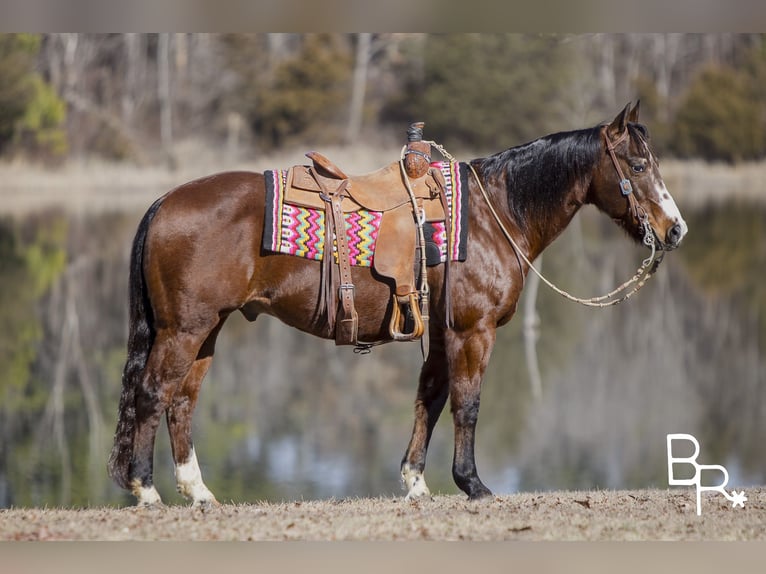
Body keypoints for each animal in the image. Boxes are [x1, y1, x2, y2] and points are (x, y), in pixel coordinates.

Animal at [108, 103, 688, 508]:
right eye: (639, 165)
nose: (675, 230)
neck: (493, 214)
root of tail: (164, 201)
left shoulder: (442, 333)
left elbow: (428, 399)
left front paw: (415, 482)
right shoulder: (472, 331)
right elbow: (467, 404)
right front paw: (472, 484)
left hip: (206, 330)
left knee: (182, 402)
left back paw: (197, 491)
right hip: (183, 330)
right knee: (153, 394)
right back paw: (146, 490)